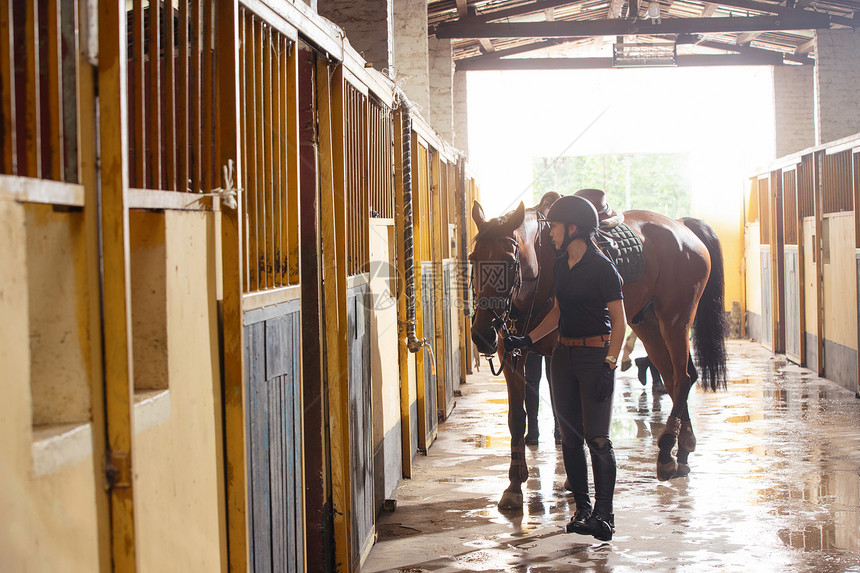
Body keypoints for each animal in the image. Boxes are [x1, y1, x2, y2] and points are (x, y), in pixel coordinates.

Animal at [470, 193, 724, 510]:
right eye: (473, 258)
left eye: (508, 260)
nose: (482, 334)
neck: (544, 269)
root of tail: (681, 226)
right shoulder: (514, 351)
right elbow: (517, 418)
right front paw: (515, 486)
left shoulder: (563, 353)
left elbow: (570, 416)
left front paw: (571, 480)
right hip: (647, 325)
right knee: (673, 377)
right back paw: (683, 452)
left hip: (675, 321)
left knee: (682, 378)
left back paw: (666, 454)